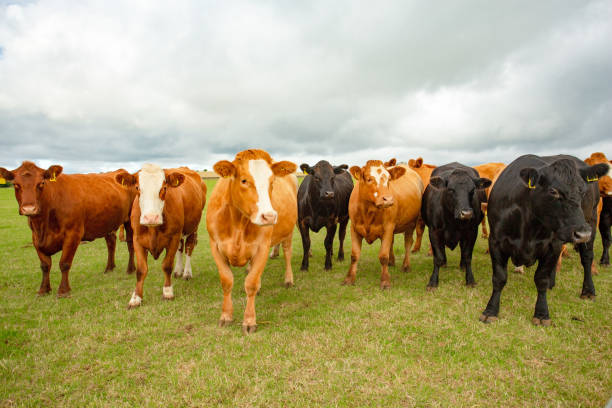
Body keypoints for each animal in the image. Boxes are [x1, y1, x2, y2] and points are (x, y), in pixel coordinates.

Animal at [0, 160, 136, 296]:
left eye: (41, 183)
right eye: (15, 184)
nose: (29, 209)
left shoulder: (73, 233)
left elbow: (64, 263)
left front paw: (63, 291)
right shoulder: (35, 238)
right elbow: (45, 265)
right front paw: (43, 290)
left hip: (130, 220)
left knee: (130, 244)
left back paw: (131, 269)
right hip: (107, 223)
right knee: (111, 243)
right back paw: (109, 268)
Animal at [116, 164, 207, 308]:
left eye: (164, 188)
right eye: (137, 188)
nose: (151, 217)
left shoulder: (174, 237)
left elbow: (167, 265)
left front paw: (167, 292)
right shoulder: (137, 240)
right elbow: (141, 270)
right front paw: (136, 297)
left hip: (193, 228)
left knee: (188, 247)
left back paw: (187, 272)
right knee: (181, 248)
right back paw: (178, 271)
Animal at [207, 148, 298, 334]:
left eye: (272, 181)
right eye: (244, 180)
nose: (269, 216)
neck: (238, 222)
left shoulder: (262, 247)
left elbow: (251, 284)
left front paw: (249, 321)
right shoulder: (215, 246)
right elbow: (227, 281)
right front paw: (226, 316)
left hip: (289, 232)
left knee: (287, 253)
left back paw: (288, 279)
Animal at [480, 155, 608, 326]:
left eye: (582, 190)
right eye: (553, 191)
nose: (582, 233)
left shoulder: (552, 245)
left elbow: (541, 279)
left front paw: (541, 314)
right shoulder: (495, 242)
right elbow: (499, 278)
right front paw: (490, 311)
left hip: (592, 220)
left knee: (587, 258)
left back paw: (588, 291)